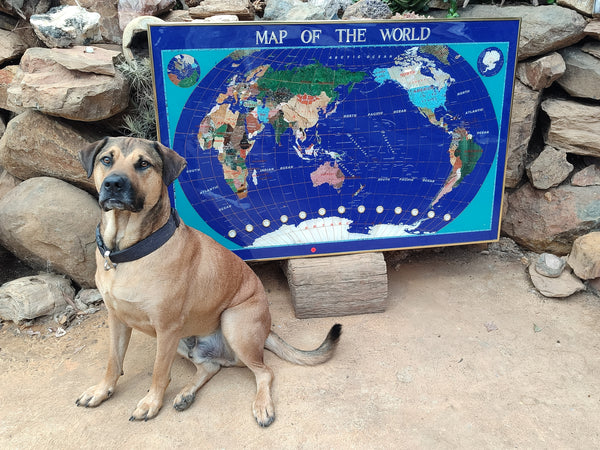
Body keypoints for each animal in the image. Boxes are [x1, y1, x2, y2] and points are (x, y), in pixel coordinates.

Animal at [76, 137, 342, 426]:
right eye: (106, 159)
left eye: (143, 164)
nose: (113, 183)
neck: (125, 253)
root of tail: (267, 330)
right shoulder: (117, 319)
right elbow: (113, 362)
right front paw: (102, 391)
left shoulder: (166, 328)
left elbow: (159, 372)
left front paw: (150, 403)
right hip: (185, 341)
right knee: (210, 366)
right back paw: (185, 394)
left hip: (232, 323)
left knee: (264, 371)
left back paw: (262, 406)